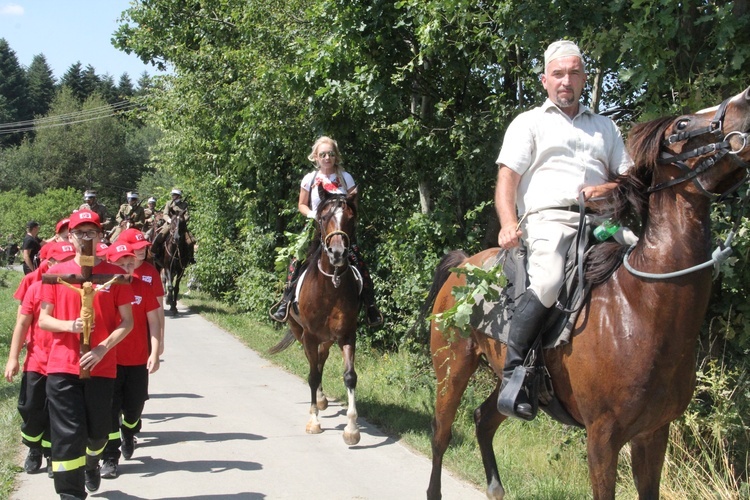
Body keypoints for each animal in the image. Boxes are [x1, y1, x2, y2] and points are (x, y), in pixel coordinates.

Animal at [270, 188, 364, 446]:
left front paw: (352, 429)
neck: (331, 285)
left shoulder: (347, 334)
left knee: (321, 359)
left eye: (351, 219)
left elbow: (350, 376)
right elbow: (312, 375)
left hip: (328, 338)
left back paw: (322, 399)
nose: (338, 253)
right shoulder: (310, 335)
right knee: (314, 364)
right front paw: (313, 421)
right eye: (322, 218)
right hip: (300, 332)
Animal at [426, 88, 748, 498]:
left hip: (504, 388)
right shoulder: (603, 437)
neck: (642, 307)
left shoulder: (653, 434)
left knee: (483, 419)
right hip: (451, 371)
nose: (747, 99)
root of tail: (463, 267)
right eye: (681, 125)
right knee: (441, 434)